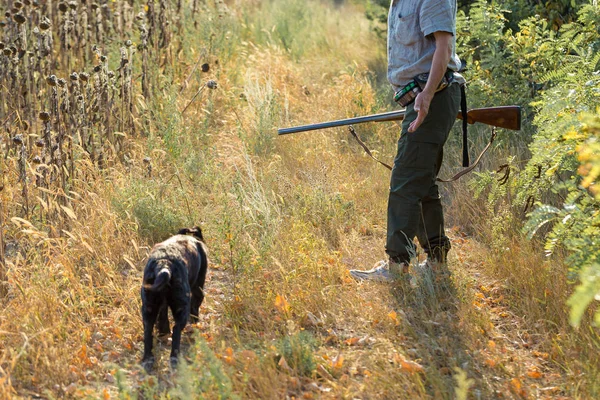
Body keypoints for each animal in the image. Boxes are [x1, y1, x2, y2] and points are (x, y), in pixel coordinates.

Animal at [141, 227, 209, 370]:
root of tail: (164, 266)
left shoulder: (161, 304)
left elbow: (163, 316)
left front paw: (162, 331)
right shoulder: (197, 290)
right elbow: (195, 311)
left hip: (148, 307)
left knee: (148, 329)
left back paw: (148, 359)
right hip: (182, 307)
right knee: (177, 330)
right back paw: (175, 358)